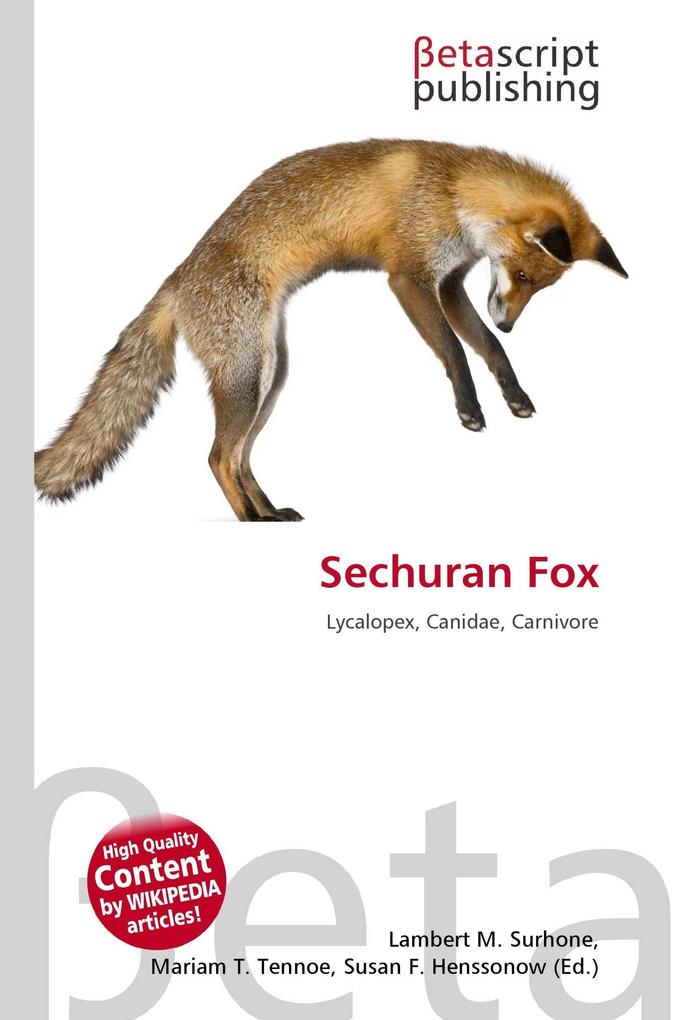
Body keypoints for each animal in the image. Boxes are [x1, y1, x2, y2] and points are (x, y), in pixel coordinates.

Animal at [35, 139, 627, 521]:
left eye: (540, 288)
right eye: (522, 276)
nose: (510, 322)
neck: (455, 189)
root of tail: (176, 279)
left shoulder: (451, 284)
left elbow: (488, 350)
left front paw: (514, 394)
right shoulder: (408, 277)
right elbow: (456, 352)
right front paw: (469, 410)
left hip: (272, 375)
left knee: (240, 457)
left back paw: (269, 511)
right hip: (247, 374)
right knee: (217, 457)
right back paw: (250, 523)